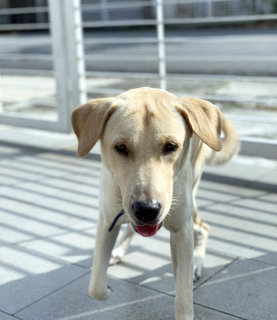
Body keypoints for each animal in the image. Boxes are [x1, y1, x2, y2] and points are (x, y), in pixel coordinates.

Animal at [71, 87, 237, 320]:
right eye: (120, 147)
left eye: (171, 147)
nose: (147, 210)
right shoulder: (106, 222)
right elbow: (96, 286)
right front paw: (106, 288)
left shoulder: (181, 232)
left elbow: (184, 298)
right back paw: (119, 251)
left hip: (191, 200)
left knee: (204, 228)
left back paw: (197, 262)